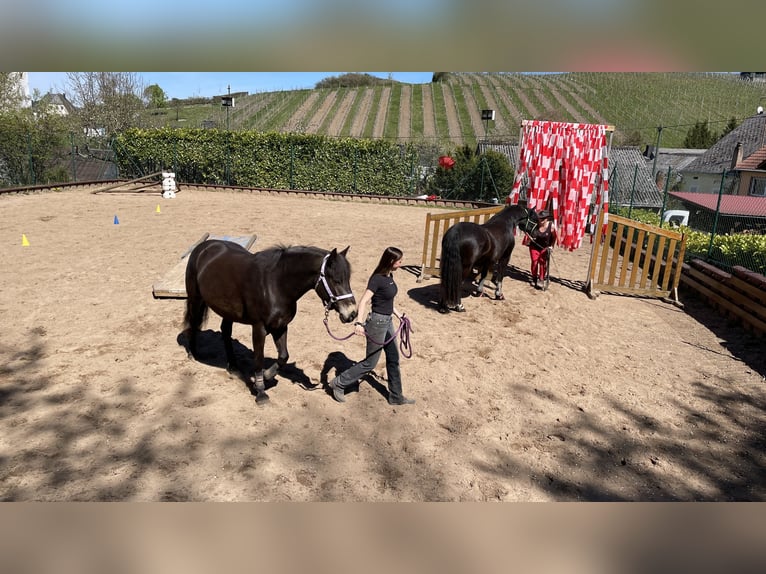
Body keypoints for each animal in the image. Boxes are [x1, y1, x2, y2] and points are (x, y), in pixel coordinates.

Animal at [184, 241, 360, 402]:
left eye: (348, 279)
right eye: (336, 280)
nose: (352, 313)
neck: (275, 284)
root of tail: (204, 246)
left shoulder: (280, 326)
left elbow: (283, 356)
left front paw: (266, 376)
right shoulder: (259, 328)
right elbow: (259, 358)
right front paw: (260, 392)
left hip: (228, 310)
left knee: (225, 332)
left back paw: (233, 367)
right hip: (196, 299)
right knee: (193, 323)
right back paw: (192, 353)